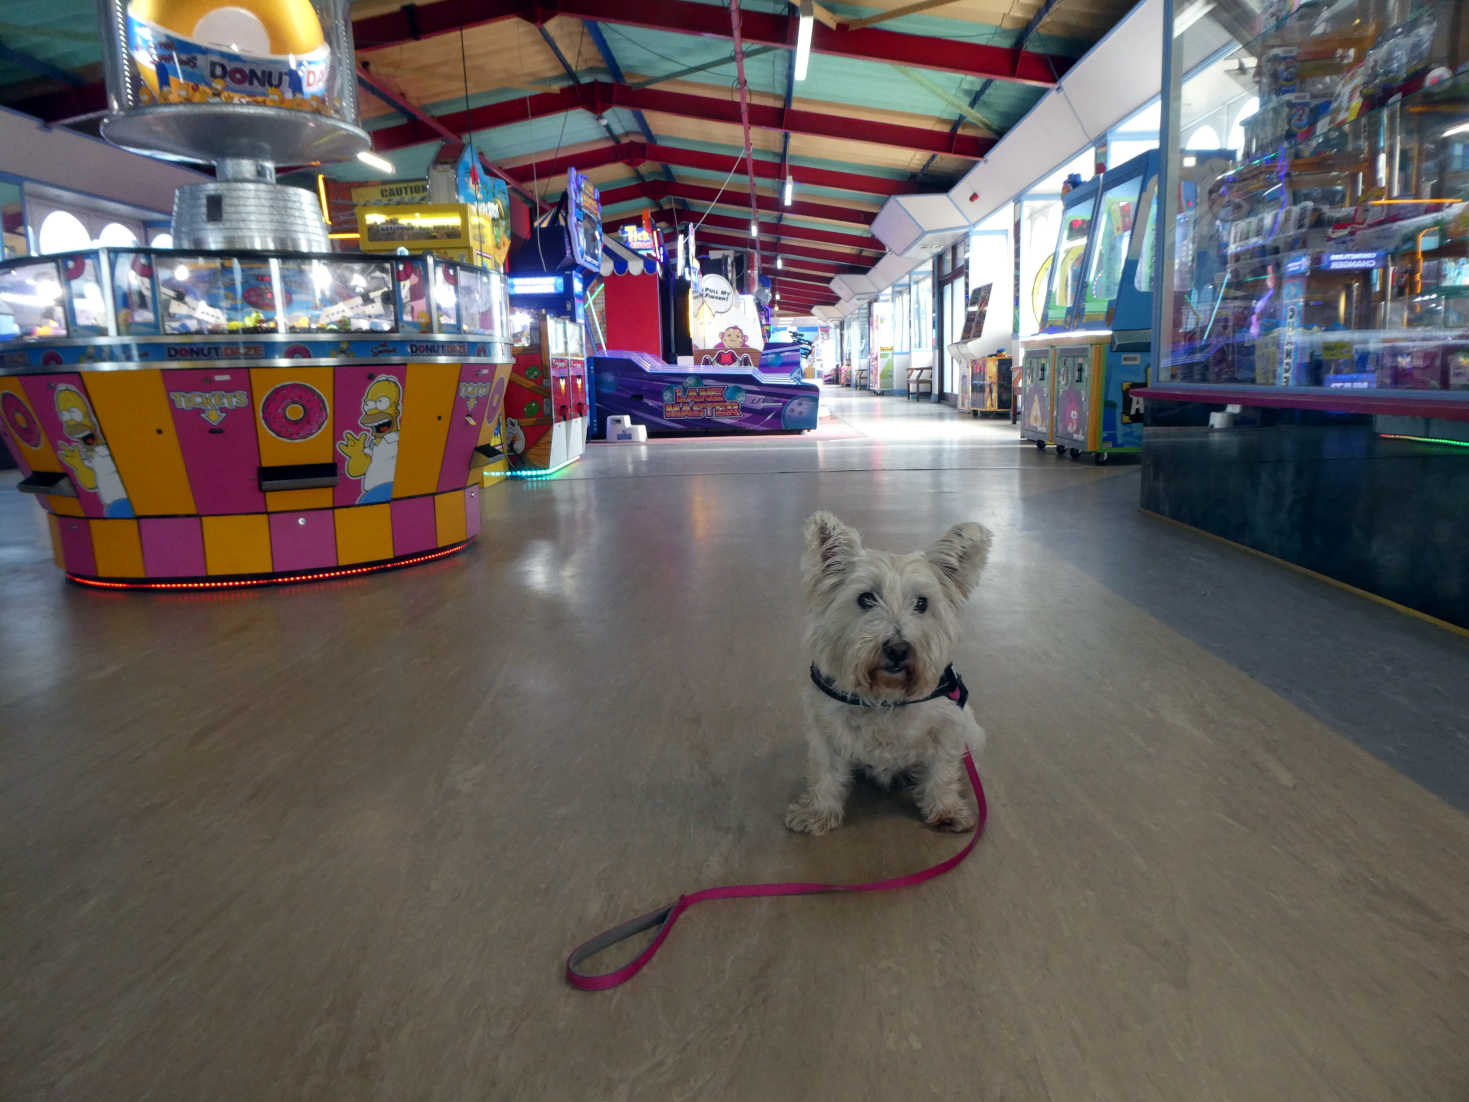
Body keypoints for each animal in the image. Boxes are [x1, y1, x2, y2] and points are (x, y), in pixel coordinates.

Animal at [787, 517, 993, 834]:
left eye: (922, 603)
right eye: (866, 599)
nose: (898, 649)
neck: (885, 695)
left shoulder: (948, 727)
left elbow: (942, 771)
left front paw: (946, 809)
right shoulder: (824, 731)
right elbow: (825, 774)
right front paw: (817, 813)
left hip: (971, 731)